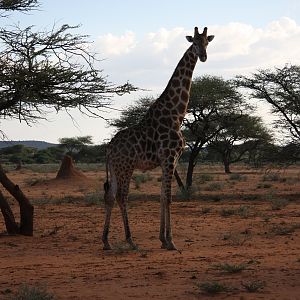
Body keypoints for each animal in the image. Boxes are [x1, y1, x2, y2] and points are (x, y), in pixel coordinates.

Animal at [102, 25, 214, 251]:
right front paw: (171, 241)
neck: (177, 114)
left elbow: (162, 196)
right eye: (194, 42)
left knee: (110, 196)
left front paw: (162, 239)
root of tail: (109, 149)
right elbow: (169, 197)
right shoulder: (170, 158)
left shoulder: (169, 161)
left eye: (207, 42)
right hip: (126, 167)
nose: (203, 56)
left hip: (116, 169)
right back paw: (130, 240)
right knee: (122, 197)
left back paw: (106, 241)